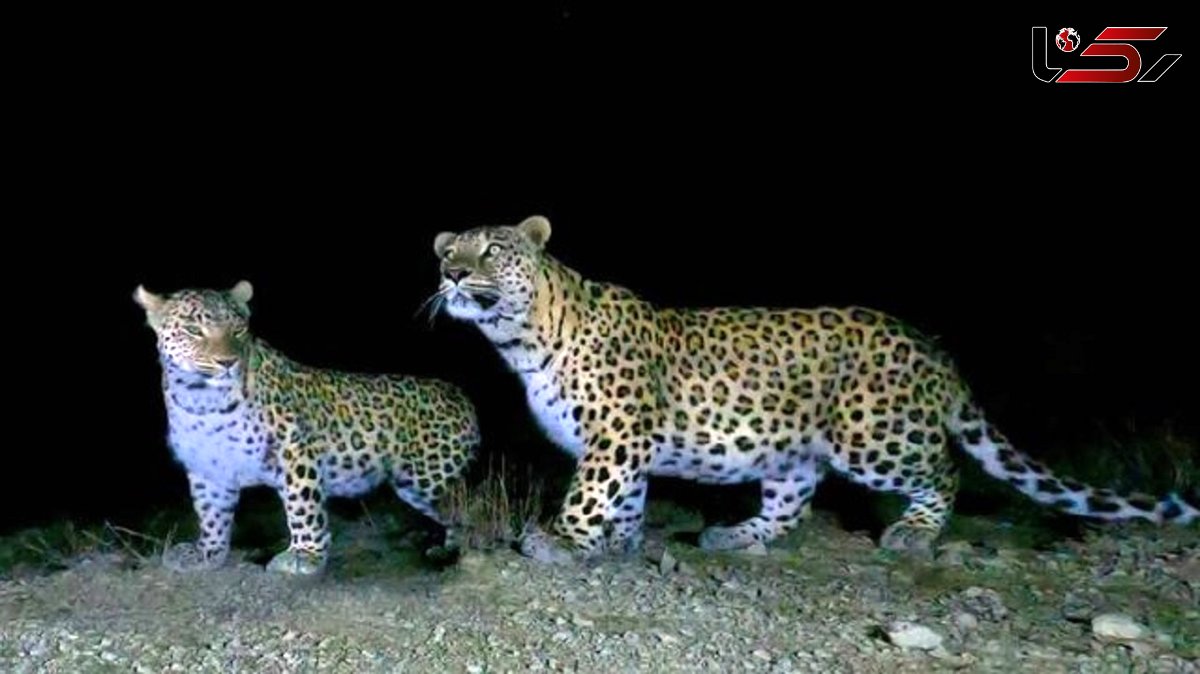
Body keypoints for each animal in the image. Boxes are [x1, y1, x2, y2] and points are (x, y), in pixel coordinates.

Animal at [136, 280, 477, 575]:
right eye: (194, 330)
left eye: (238, 330)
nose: (227, 362)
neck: (200, 400)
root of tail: (460, 395)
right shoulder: (208, 465)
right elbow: (211, 514)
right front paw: (208, 553)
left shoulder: (295, 451)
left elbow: (303, 506)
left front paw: (305, 556)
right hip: (416, 485)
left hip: (429, 479)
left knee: (466, 506)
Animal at [427, 214, 1195, 561]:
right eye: (448, 251)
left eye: (491, 250)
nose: (453, 274)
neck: (522, 339)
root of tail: (930, 346)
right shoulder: (629, 447)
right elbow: (628, 500)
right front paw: (619, 544)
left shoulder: (617, 436)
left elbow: (590, 493)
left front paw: (563, 540)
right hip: (794, 450)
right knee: (793, 501)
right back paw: (736, 535)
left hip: (875, 436)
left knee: (943, 468)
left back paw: (914, 533)